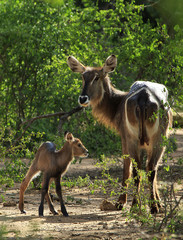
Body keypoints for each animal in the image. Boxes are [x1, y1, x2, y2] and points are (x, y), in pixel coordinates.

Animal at [67, 54, 173, 214]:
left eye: (97, 77)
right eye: (83, 77)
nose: (83, 98)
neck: (118, 102)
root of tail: (144, 97)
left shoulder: (123, 138)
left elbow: (126, 169)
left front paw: (120, 202)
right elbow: (149, 169)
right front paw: (158, 202)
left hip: (139, 140)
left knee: (138, 170)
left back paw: (137, 205)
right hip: (155, 140)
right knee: (149, 169)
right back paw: (150, 207)